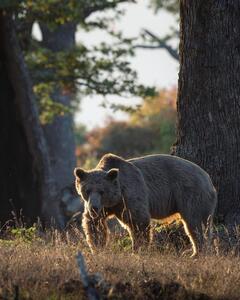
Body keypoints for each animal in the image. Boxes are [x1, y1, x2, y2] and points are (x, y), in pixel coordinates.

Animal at [73, 155, 218, 255]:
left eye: (102, 191)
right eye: (87, 190)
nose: (94, 207)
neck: (117, 196)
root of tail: (208, 179)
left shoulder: (131, 194)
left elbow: (139, 221)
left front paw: (138, 249)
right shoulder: (107, 207)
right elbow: (94, 224)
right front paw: (98, 248)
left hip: (191, 194)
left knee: (194, 223)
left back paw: (196, 253)